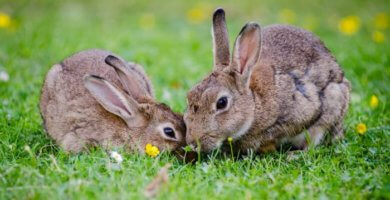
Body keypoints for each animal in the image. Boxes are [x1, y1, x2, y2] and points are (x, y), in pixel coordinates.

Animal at [184, 8, 352, 153]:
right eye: (189, 97)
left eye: (221, 103)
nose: (193, 143)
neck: (254, 104)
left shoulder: (304, 111)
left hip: (334, 99)